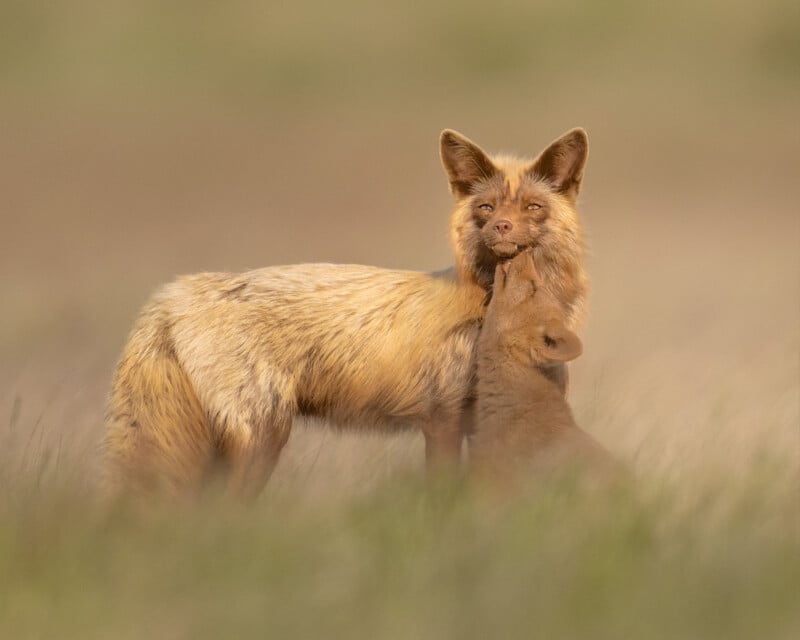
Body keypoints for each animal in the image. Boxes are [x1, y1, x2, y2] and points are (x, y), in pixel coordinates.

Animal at [103, 127, 590, 499]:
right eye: (486, 207)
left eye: (532, 207)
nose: (501, 227)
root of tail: (173, 293)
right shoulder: (443, 420)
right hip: (261, 438)